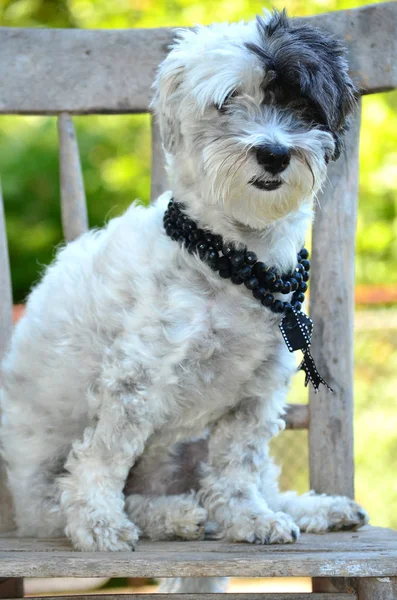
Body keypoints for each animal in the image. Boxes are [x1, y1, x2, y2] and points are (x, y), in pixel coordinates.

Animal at [0, 8, 366, 564]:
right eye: (227, 100)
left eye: (301, 103)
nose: (274, 153)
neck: (233, 261)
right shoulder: (136, 378)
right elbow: (102, 457)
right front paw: (99, 524)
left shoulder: (256, 392)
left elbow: (237, 467)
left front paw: (250, 519)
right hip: (45, 478)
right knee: (68, 500)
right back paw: (169, 516)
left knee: (233, 483)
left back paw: (309, 508)